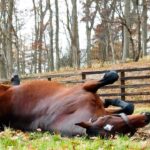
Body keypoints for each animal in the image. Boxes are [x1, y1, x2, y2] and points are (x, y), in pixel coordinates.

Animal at [0, 71, 149, 138]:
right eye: (120, 132)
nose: (146, 117)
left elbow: (129, 107)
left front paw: (110, 101)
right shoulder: (85, 87)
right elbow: (112, 76)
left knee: (14, 84)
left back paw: (15, 78)